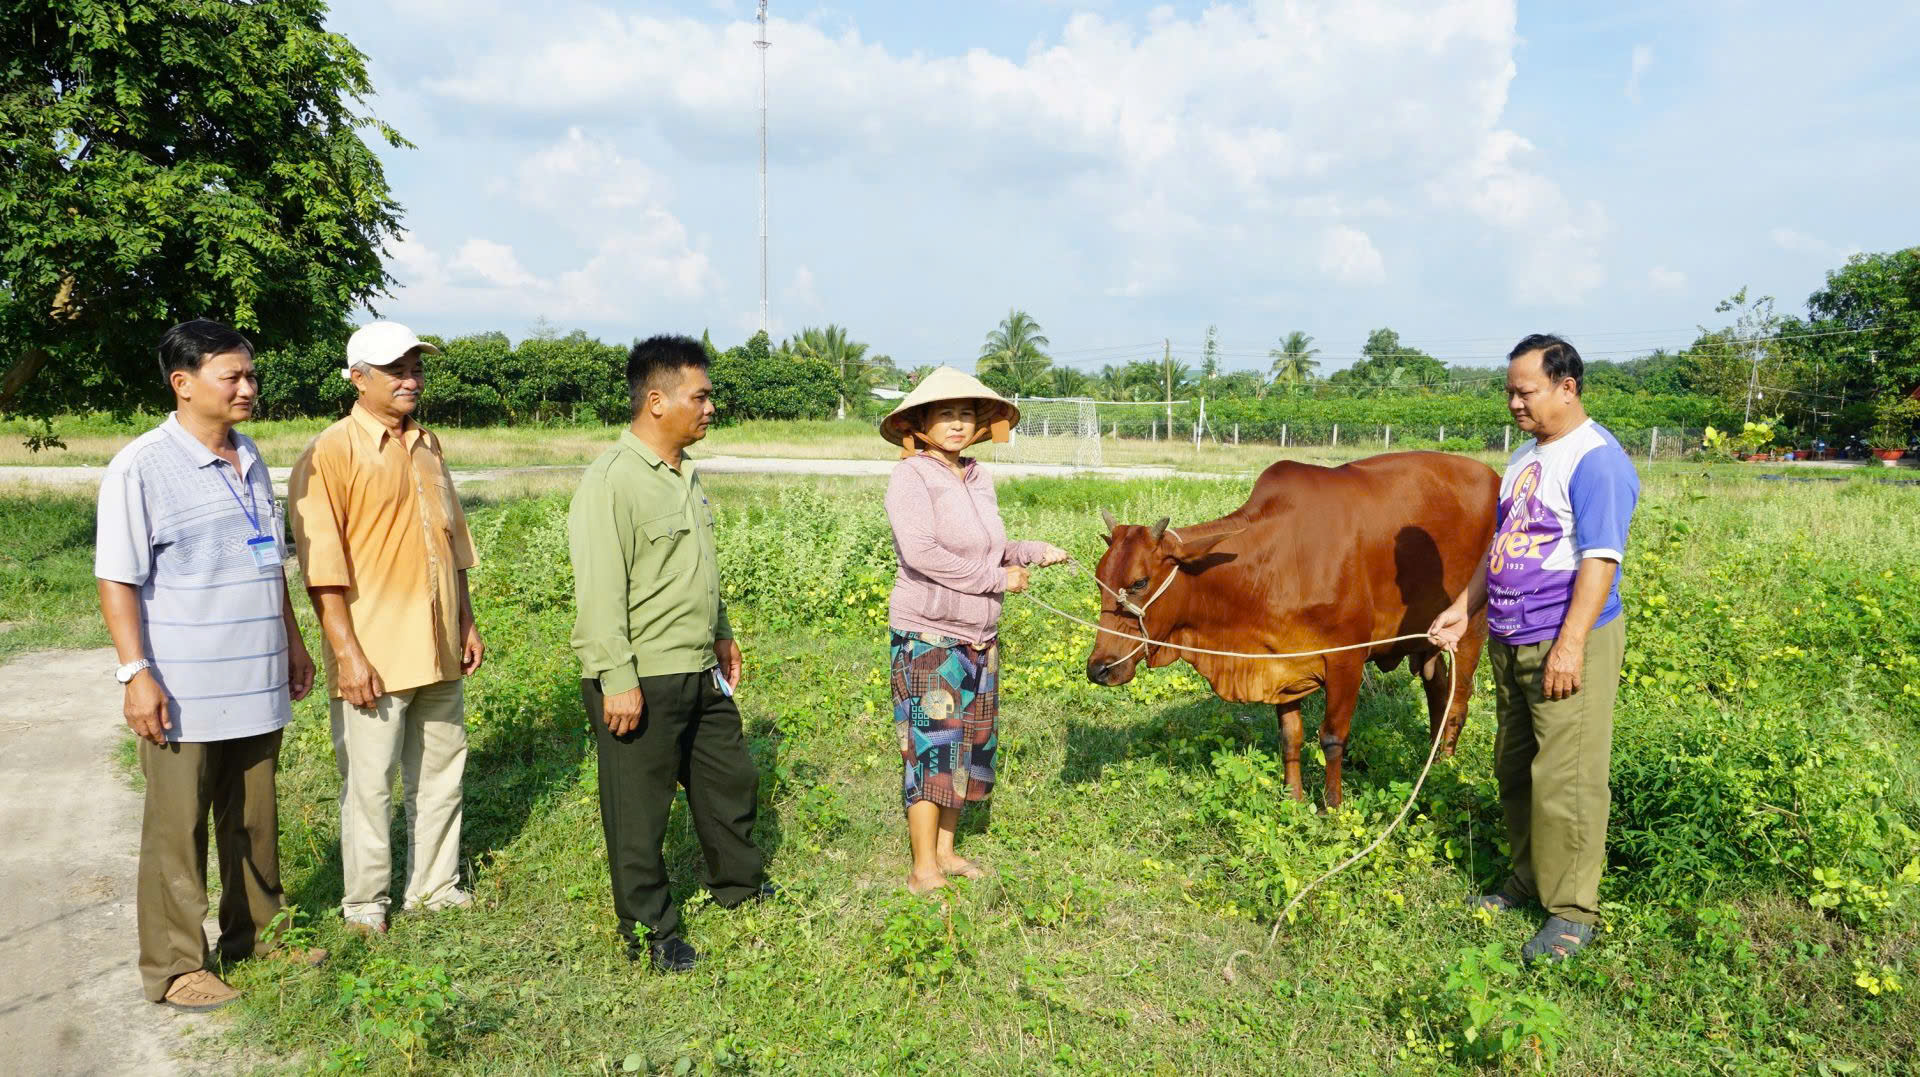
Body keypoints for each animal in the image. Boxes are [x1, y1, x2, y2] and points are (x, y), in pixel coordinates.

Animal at [1090, 447, 1489, 806]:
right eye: (1099, 579)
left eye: (1140, 582)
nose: (1098, 669)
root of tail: (1490, 474)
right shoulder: (1280, 663)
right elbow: (1289, 736)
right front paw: (1293, 800)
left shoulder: (1347, 660)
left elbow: (1332, 737)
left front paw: (1332, 808)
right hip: (1429, 638)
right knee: (1439, 691)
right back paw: (1432, 760)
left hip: (1470, 627)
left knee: (1458, 701)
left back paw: (1445, 770)